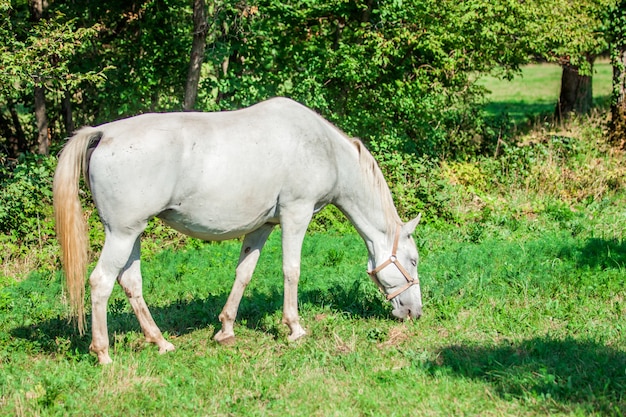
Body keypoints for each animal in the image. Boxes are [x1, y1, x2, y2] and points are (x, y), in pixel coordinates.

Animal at [53, 96, 422, 362]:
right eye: (414, 260)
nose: (415, 312)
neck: (324, 148)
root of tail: (103, 133)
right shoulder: (296, 214)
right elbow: (291, 270)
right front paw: (295, 328)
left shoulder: (263, 226)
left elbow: (244, 273)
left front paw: (226, 329)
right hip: (122, 234)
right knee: (100, 283)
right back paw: (103, 354)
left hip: (133, 236)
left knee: (130, 283)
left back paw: (160, 342)